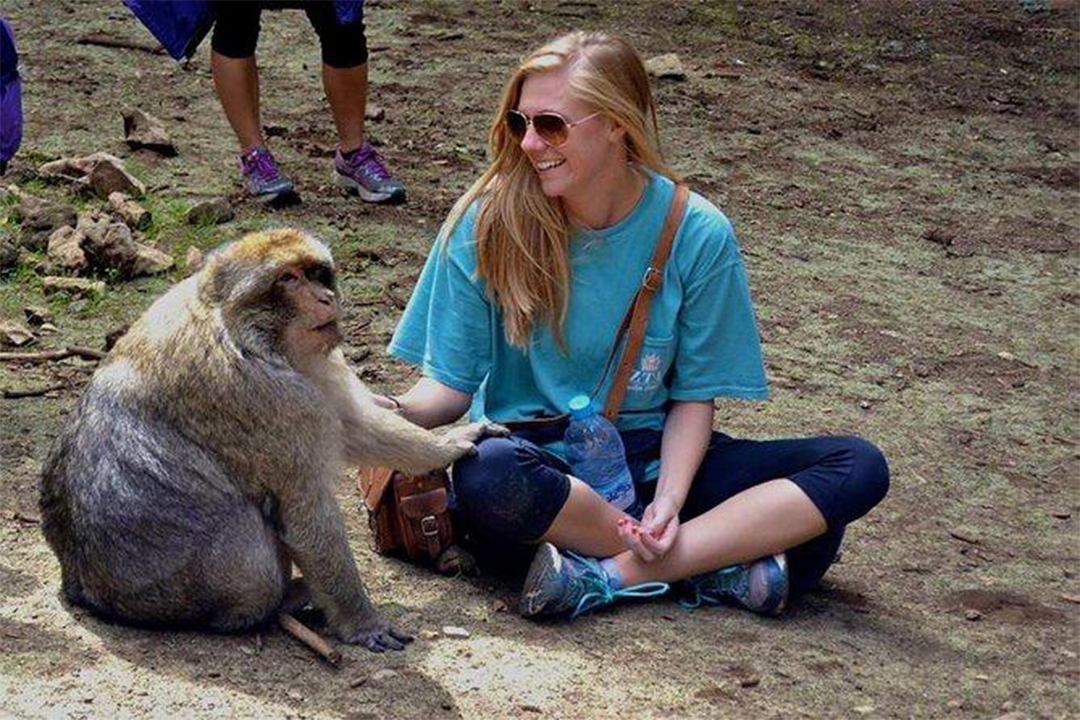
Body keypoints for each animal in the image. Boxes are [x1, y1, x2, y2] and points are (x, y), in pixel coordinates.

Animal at [36, 227, 501, 651]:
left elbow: (355, 426)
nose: (326, 298)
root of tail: (78, 583)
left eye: (316, 274)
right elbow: (305, 512)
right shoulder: (267, 397)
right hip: (172, 594)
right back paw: (277, 604)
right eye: (289, 279)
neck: (242, 330)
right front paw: (361, 622)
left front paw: (450, 442)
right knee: (254, 570)